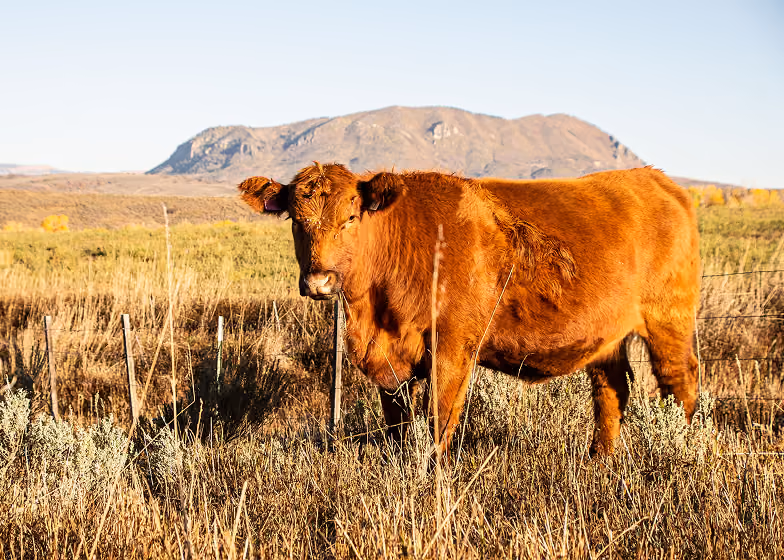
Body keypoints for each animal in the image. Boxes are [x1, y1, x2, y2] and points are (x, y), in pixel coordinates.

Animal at [238, 163, 700, 457]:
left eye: (351, 218)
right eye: (296, 221)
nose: (319, 281)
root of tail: (657, 181)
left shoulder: (452, 349)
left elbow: (439, 420)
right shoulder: (391, 361)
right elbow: (397, 425)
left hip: (668, 323)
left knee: (680, 387)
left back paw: (680, 453)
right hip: (607, 338)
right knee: (612, 390)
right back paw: (599, 461)